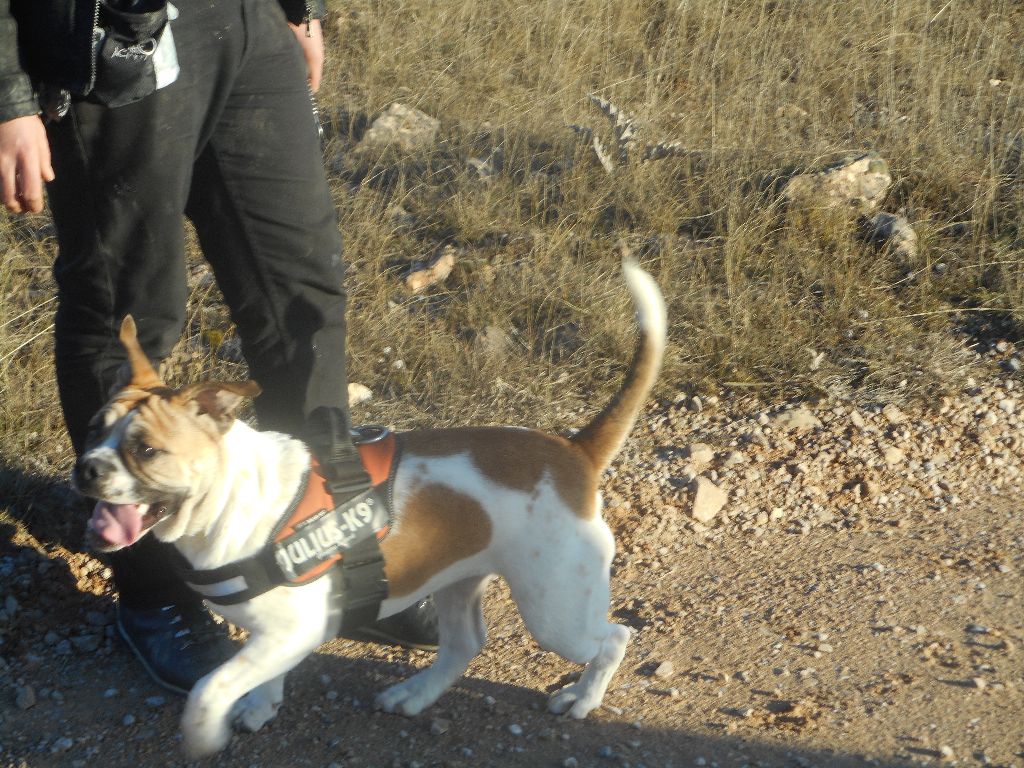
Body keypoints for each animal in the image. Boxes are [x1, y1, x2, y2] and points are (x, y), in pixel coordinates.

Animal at [73, 259, 666, 758]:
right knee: (465, 644)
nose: (87, 468)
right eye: (95, 429)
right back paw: (416, 694)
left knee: (615, 637)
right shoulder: (273, 638)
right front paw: (261, 705)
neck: (236, 496)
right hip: (459, 578)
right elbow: (257, 677)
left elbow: (209, 686)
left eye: (147, 450)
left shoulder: (294, 632)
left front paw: (203, 733)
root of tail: (573, 451)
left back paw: (583, 698)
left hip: (556, 614)